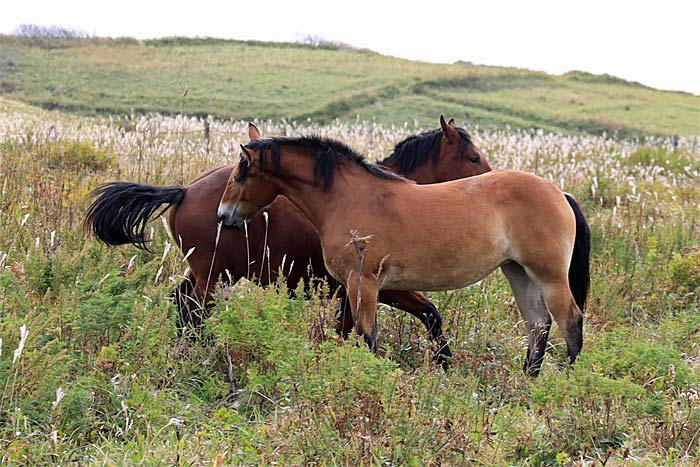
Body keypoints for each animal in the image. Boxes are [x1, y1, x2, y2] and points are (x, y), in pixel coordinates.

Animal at [83, 118, 492, 366]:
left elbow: (351, 330)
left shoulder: (352, 291)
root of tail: (184, 192)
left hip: (208, 273)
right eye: (473, 157)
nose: (492, 178)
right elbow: (428, 314)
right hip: (212, 278)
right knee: (195, 312)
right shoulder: (382, 287)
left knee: (180, 302)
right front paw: (442, 363)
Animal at [216, 120, 588, 376]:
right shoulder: (354, 288)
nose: (223, 215)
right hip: (518, 272)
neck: (347, 198)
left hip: (549, 276)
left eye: (240, 173)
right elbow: (349, 334)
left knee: (569, 320)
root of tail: (560, 193)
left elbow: (366, 337)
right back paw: (528, 380)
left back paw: (569, 380)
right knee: (538, 325)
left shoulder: (364, 284)